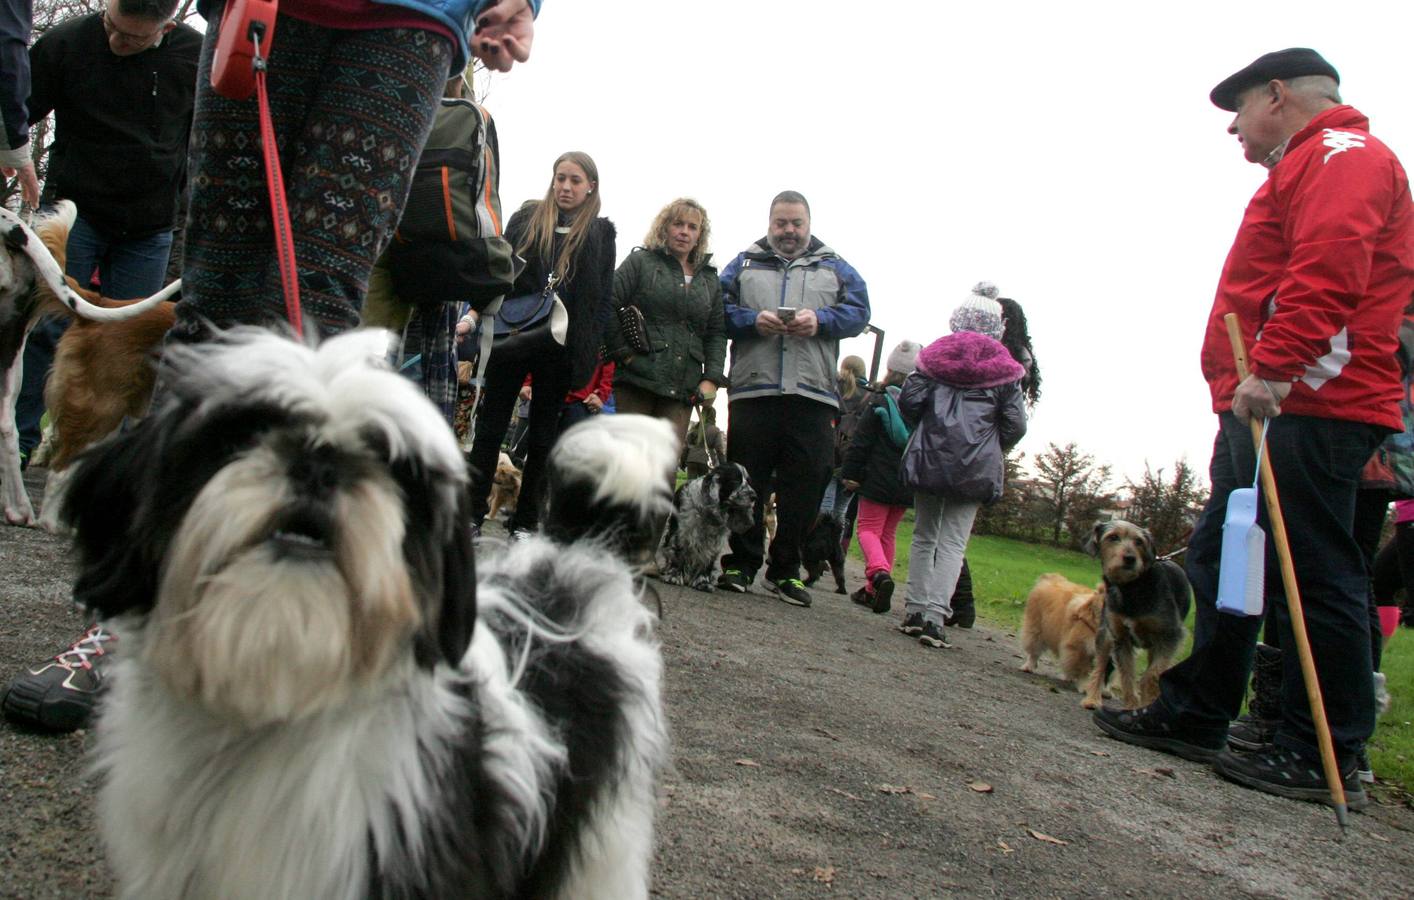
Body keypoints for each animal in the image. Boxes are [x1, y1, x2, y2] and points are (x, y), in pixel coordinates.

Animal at [56, 331, 673, 900]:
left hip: (599, 838)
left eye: (393, 467)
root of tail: (578, 557)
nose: (317, 462)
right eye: (243, 433)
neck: (280, 694)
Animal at [1080, 520, 1193, 710]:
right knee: (1101, 665)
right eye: (1113, 537)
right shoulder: (1121, 638)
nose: (1130, 558)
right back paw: (1093, 698)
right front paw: (1132, 706)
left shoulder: (1169, 636)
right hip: (1105, 633)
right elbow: (1127, 674)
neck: (1132, 587)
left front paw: (1144, 704)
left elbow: (1152, 674)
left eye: (1139, 541)